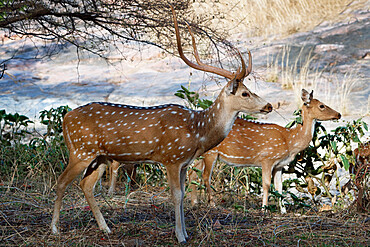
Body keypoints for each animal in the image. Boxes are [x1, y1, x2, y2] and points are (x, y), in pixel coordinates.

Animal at [50, 6, 272, 243]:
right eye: (245, 93)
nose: (268, 106)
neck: (198, 132)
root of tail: (66, 118)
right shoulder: (171, 157)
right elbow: (176, 194)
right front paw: (180, 236)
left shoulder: (184, 163)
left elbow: (183, 193)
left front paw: (185, 232)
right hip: (80, 150)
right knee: (61, 181)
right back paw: (55, 228)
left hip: (99, 156)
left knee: (86, 185)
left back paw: (105, 228)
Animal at [189, 89, 340, 213]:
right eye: (322, 105)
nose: (338, 114)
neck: (289, 140)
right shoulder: (267, 158)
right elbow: (266, 184)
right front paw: (264, 209)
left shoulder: (279, 165)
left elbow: (279, 187)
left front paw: (283, 211)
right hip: (211, 153)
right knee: (205, 176)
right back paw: (212, 204)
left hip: (201, 154)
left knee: (192, 173)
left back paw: (194, 202)